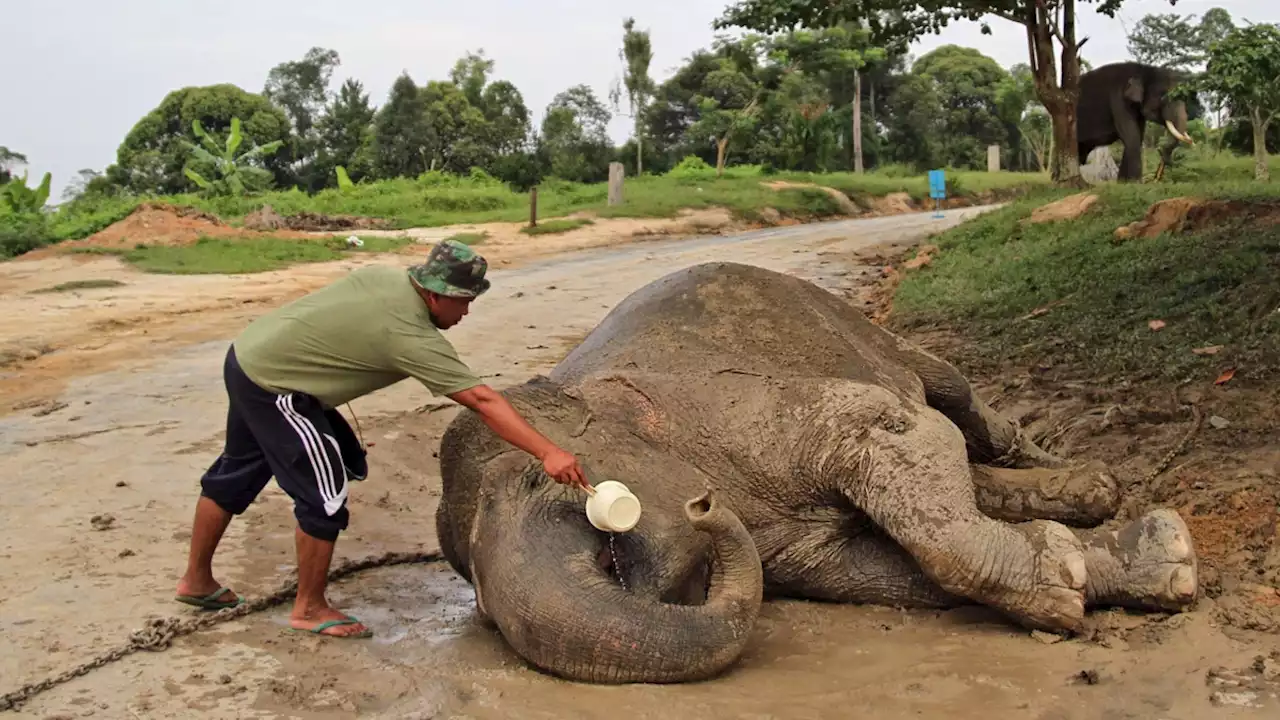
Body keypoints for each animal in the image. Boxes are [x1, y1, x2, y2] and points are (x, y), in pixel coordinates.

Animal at [432, 263, 1198, 681]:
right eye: (481, 607)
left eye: (533, 480)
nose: (703, 508)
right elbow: (864, 569)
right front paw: (1128, 565)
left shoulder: (743, 410)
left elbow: (897, 426)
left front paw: (1078, 582)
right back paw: (1092, 497)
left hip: (863, 326)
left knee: (957, 405)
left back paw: (1090, 479)